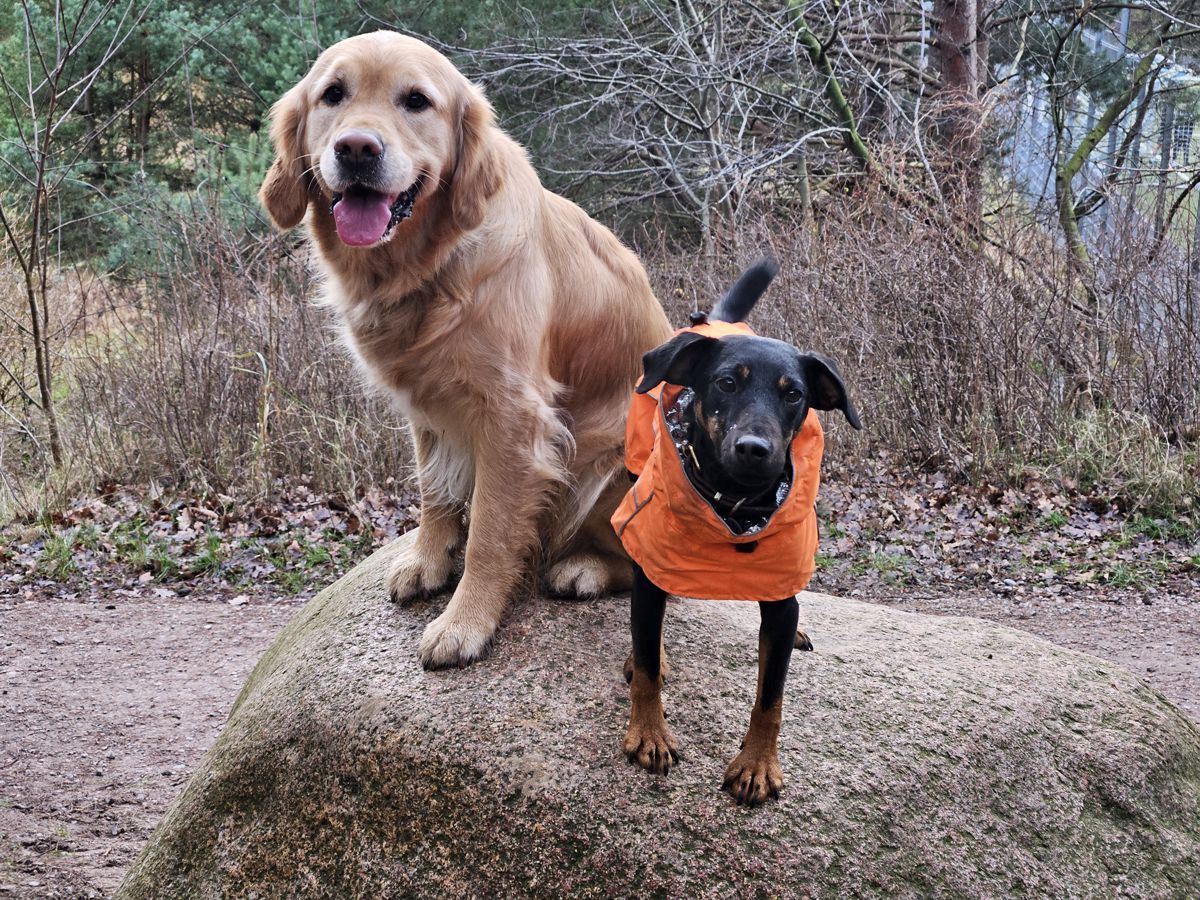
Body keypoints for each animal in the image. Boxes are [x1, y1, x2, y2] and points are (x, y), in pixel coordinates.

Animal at [609, 256, 864, 806]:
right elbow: (647, 669)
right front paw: (649, 733)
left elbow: (771, 695)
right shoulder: (651, 572)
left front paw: (757, 764)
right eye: (726, 383)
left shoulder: (779, 595)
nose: (754, 448)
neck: (734, 505)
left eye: (794, 394)